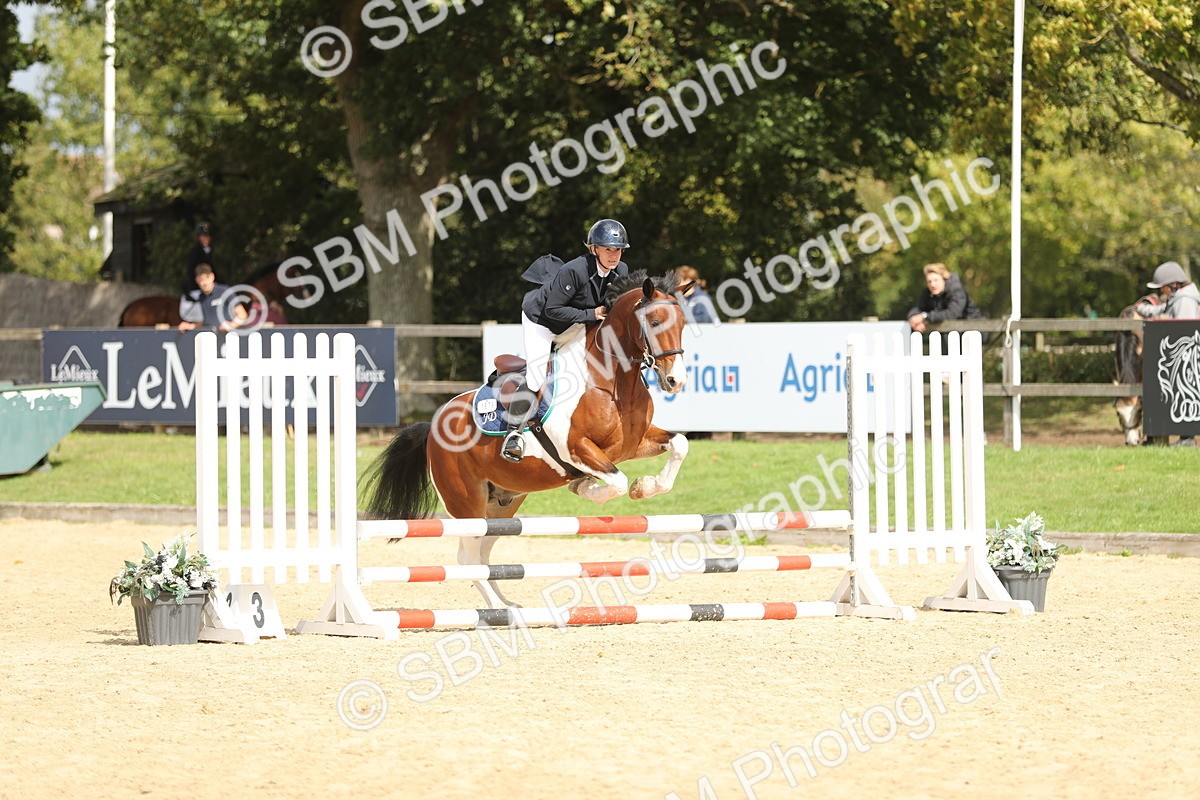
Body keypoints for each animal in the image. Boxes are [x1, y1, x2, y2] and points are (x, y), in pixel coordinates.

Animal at [363, 270, 691, 608]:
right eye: (654, 322)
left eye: (682, 324)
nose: (675, 381)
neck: (608, 380)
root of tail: (433, 425)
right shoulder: (575, 449)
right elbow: (617, 481)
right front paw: (586, 487)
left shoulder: (633, 444)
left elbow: (679, 444)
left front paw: (644, 486)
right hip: (467, 503)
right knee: (468, 557)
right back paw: (496, 611)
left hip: (503, 504)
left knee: (483, 552)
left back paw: (507, 606)